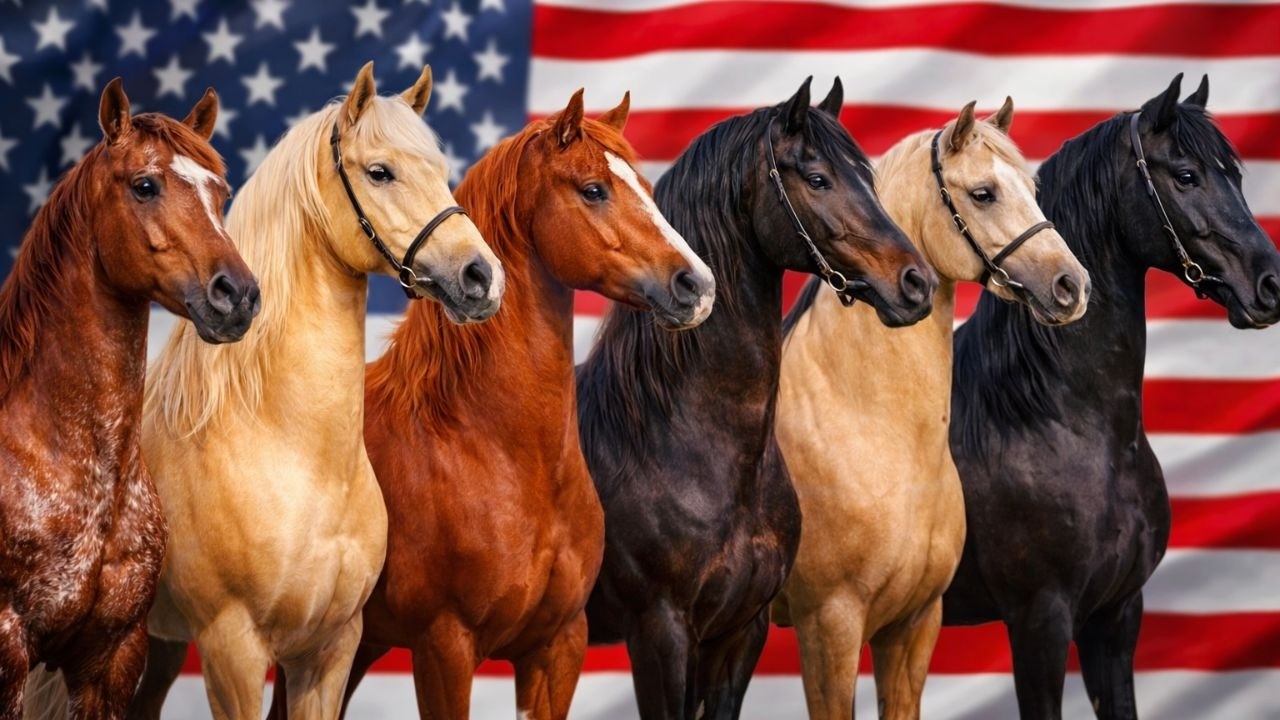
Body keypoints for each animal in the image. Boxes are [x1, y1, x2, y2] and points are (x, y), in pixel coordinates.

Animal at [102, 63, 499, 720]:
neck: (299, 457)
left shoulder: (329, 650)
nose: (482, 277)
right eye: (380, 171)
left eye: (440, 170)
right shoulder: (231, 649)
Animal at [297, 88, 716, 720]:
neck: (502, 455)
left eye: (644, 186)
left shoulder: (557, 646)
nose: (697, 285)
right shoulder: (445, 647)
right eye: (594, 189)